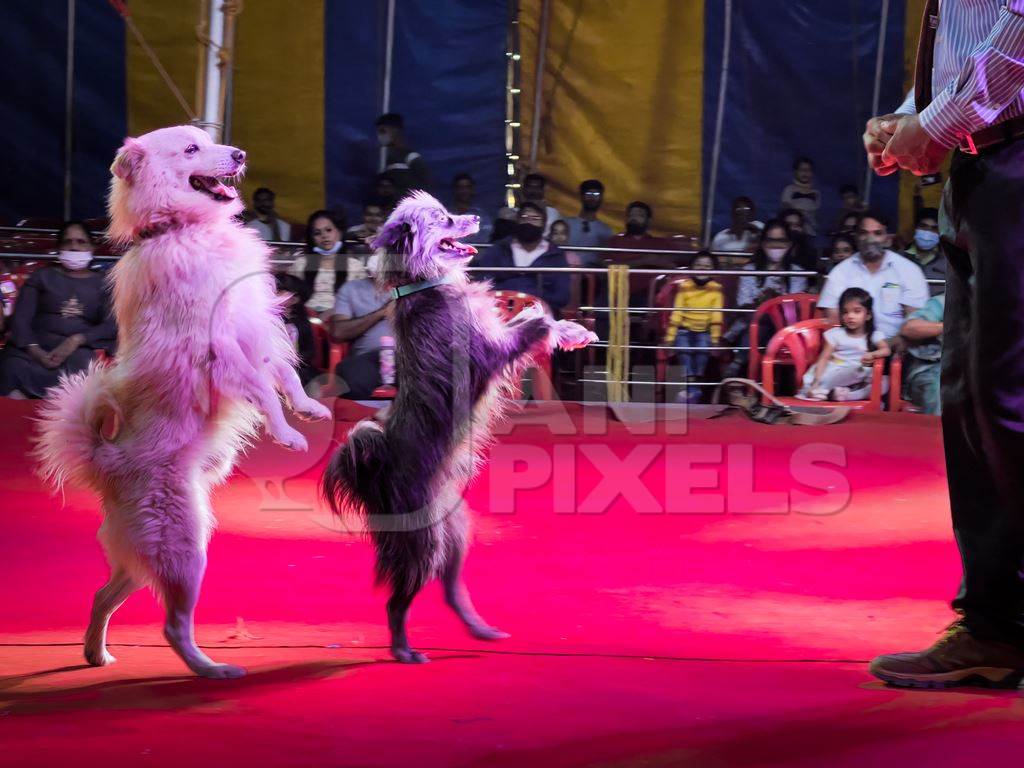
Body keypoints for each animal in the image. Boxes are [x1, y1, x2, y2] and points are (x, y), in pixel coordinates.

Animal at [33, 124, 327, 679]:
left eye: (209, 140)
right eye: (191, 150)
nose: (240, 154)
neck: (180, 229)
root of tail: (108, 462)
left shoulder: (251, 329)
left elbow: (283, 374)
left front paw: (309, 409)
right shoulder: (221, 347)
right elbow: (264, 391)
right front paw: (287, 433)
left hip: (147, 556)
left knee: (103, 594)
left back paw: (95, 652)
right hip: (184, 549)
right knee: (173, 626)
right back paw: (213, 670)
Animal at [319, 189, 593, 663]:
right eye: (444, 219)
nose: (478, 217)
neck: (424, 282)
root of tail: (374, 476)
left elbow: (529, 318)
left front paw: (572, 330)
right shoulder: (488, 353)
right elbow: (534, 322)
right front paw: (558, 325)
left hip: (456, 533)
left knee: (448, 591)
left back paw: (479, 629)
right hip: (422, 543)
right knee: (397, 602)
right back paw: (404, 649)